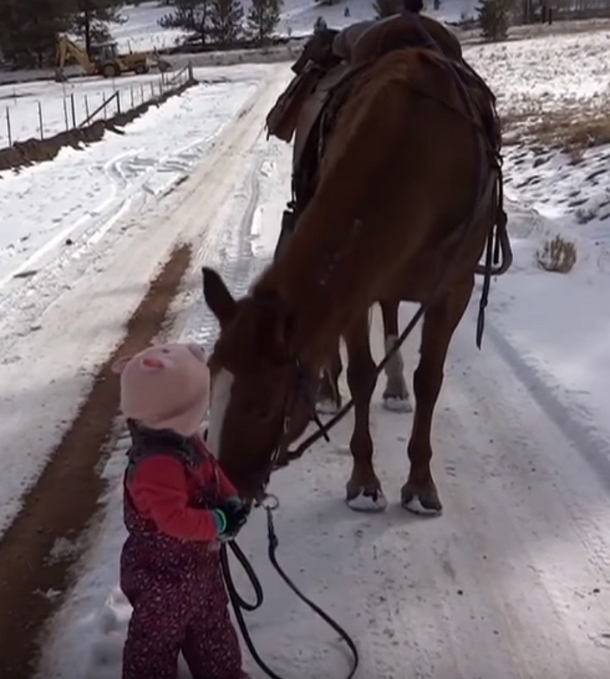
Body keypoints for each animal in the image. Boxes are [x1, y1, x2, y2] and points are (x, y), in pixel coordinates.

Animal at [203, 44, 507, 516]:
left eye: (262, 407)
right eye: (211, 380)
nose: (224, 495)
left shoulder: (453, 290)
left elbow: (429, 380)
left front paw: (420, 484)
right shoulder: (356, 292)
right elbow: (361, 376)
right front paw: (364, 482)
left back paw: (396, 387)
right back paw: (332, 390)